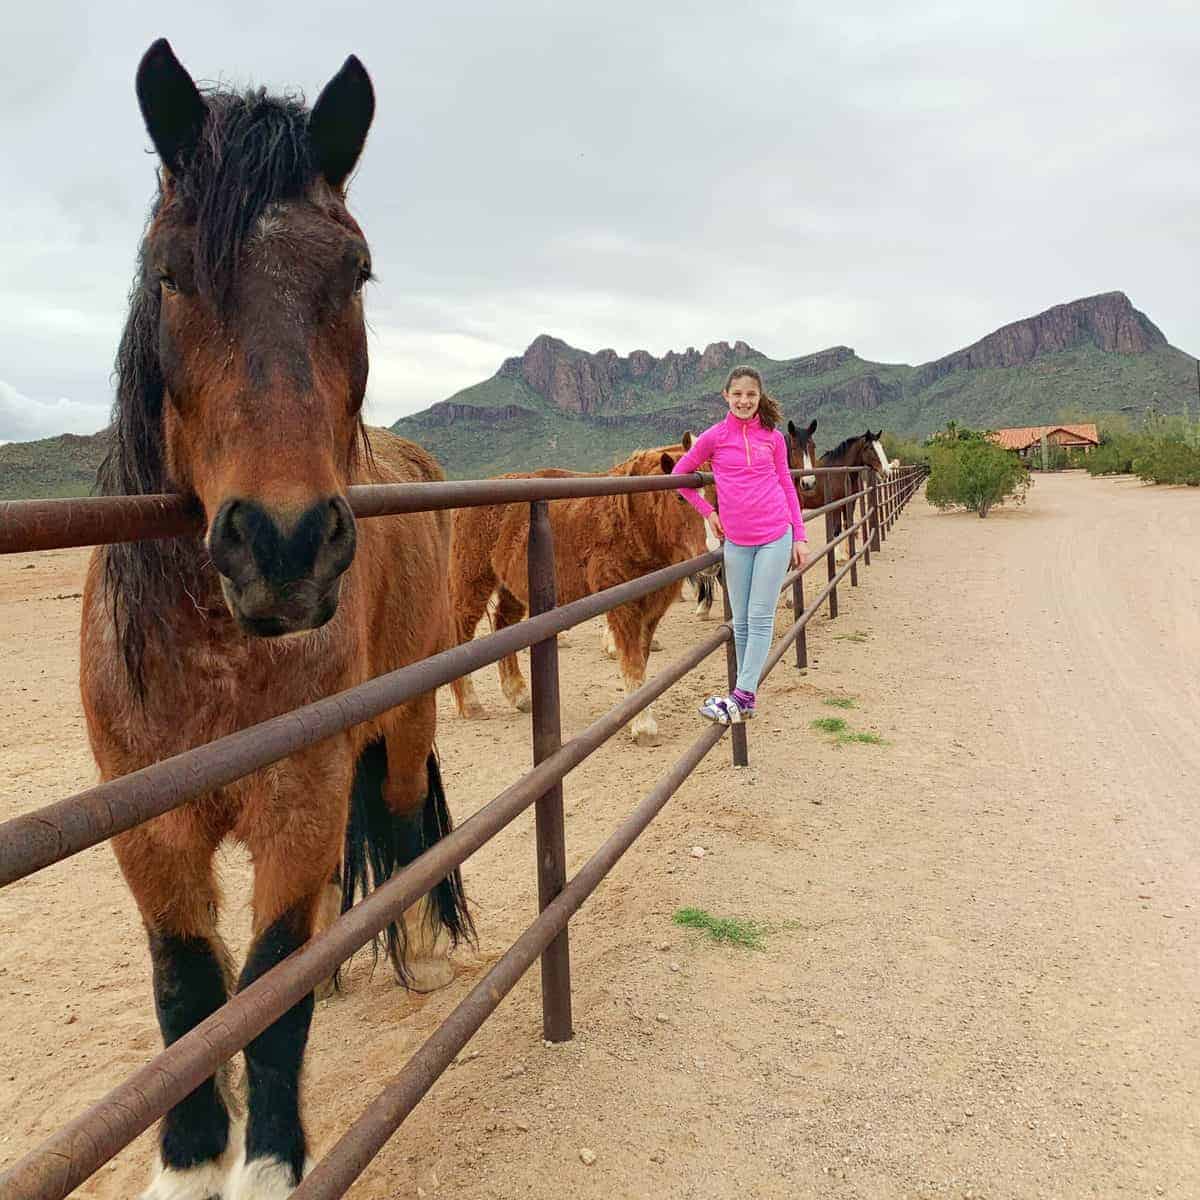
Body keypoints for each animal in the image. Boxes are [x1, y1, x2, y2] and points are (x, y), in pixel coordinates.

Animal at [79, 39, 470, 1200]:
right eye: (170, 273)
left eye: (356, 272)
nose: (286, 545)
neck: (215, 657)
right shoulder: (147, 827)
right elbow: (191, 990)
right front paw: (189, 1161)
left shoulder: (298, 799)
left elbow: (271, 990)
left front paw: (268, 1161)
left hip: (404, 720)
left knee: (401, 821)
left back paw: (415, 943)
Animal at [448, 439, 700, 739]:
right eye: (681, 497)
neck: (629, 519)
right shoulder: (624, 605)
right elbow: (632, 661)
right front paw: (643, 727)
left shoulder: (652, 606)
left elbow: (642, 656)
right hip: (473, 582)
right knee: (461, 633)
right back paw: (470, 703)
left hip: (512, 589)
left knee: (503, 624)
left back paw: (519, 695)